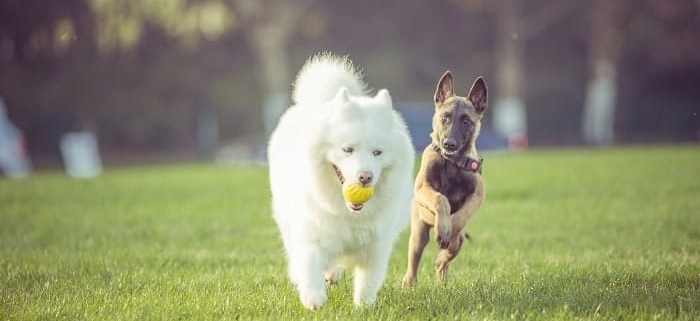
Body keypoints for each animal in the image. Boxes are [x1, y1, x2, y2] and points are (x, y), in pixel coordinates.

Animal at [266, 52, 412, 308]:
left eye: (377, 152)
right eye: (348, 149)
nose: (365, 177)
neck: (349, 214)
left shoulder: (376, 247)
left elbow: (367, 282)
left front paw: (363, 307)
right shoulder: (312, 235)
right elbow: (309, 266)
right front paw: (313, 298)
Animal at [402, 70, 490, 284]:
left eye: (466, 121)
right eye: (445, 117)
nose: (449, 144)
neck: (452, 163)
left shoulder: (477, 195)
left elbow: (459, 217)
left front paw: (447, 231)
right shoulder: (424, 188)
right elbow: (441, 199)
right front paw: (443, 228)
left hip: (458, 243)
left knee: (446, 258)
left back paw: (441, 269)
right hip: (418, 233)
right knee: (414, 261)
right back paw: (409, 283)